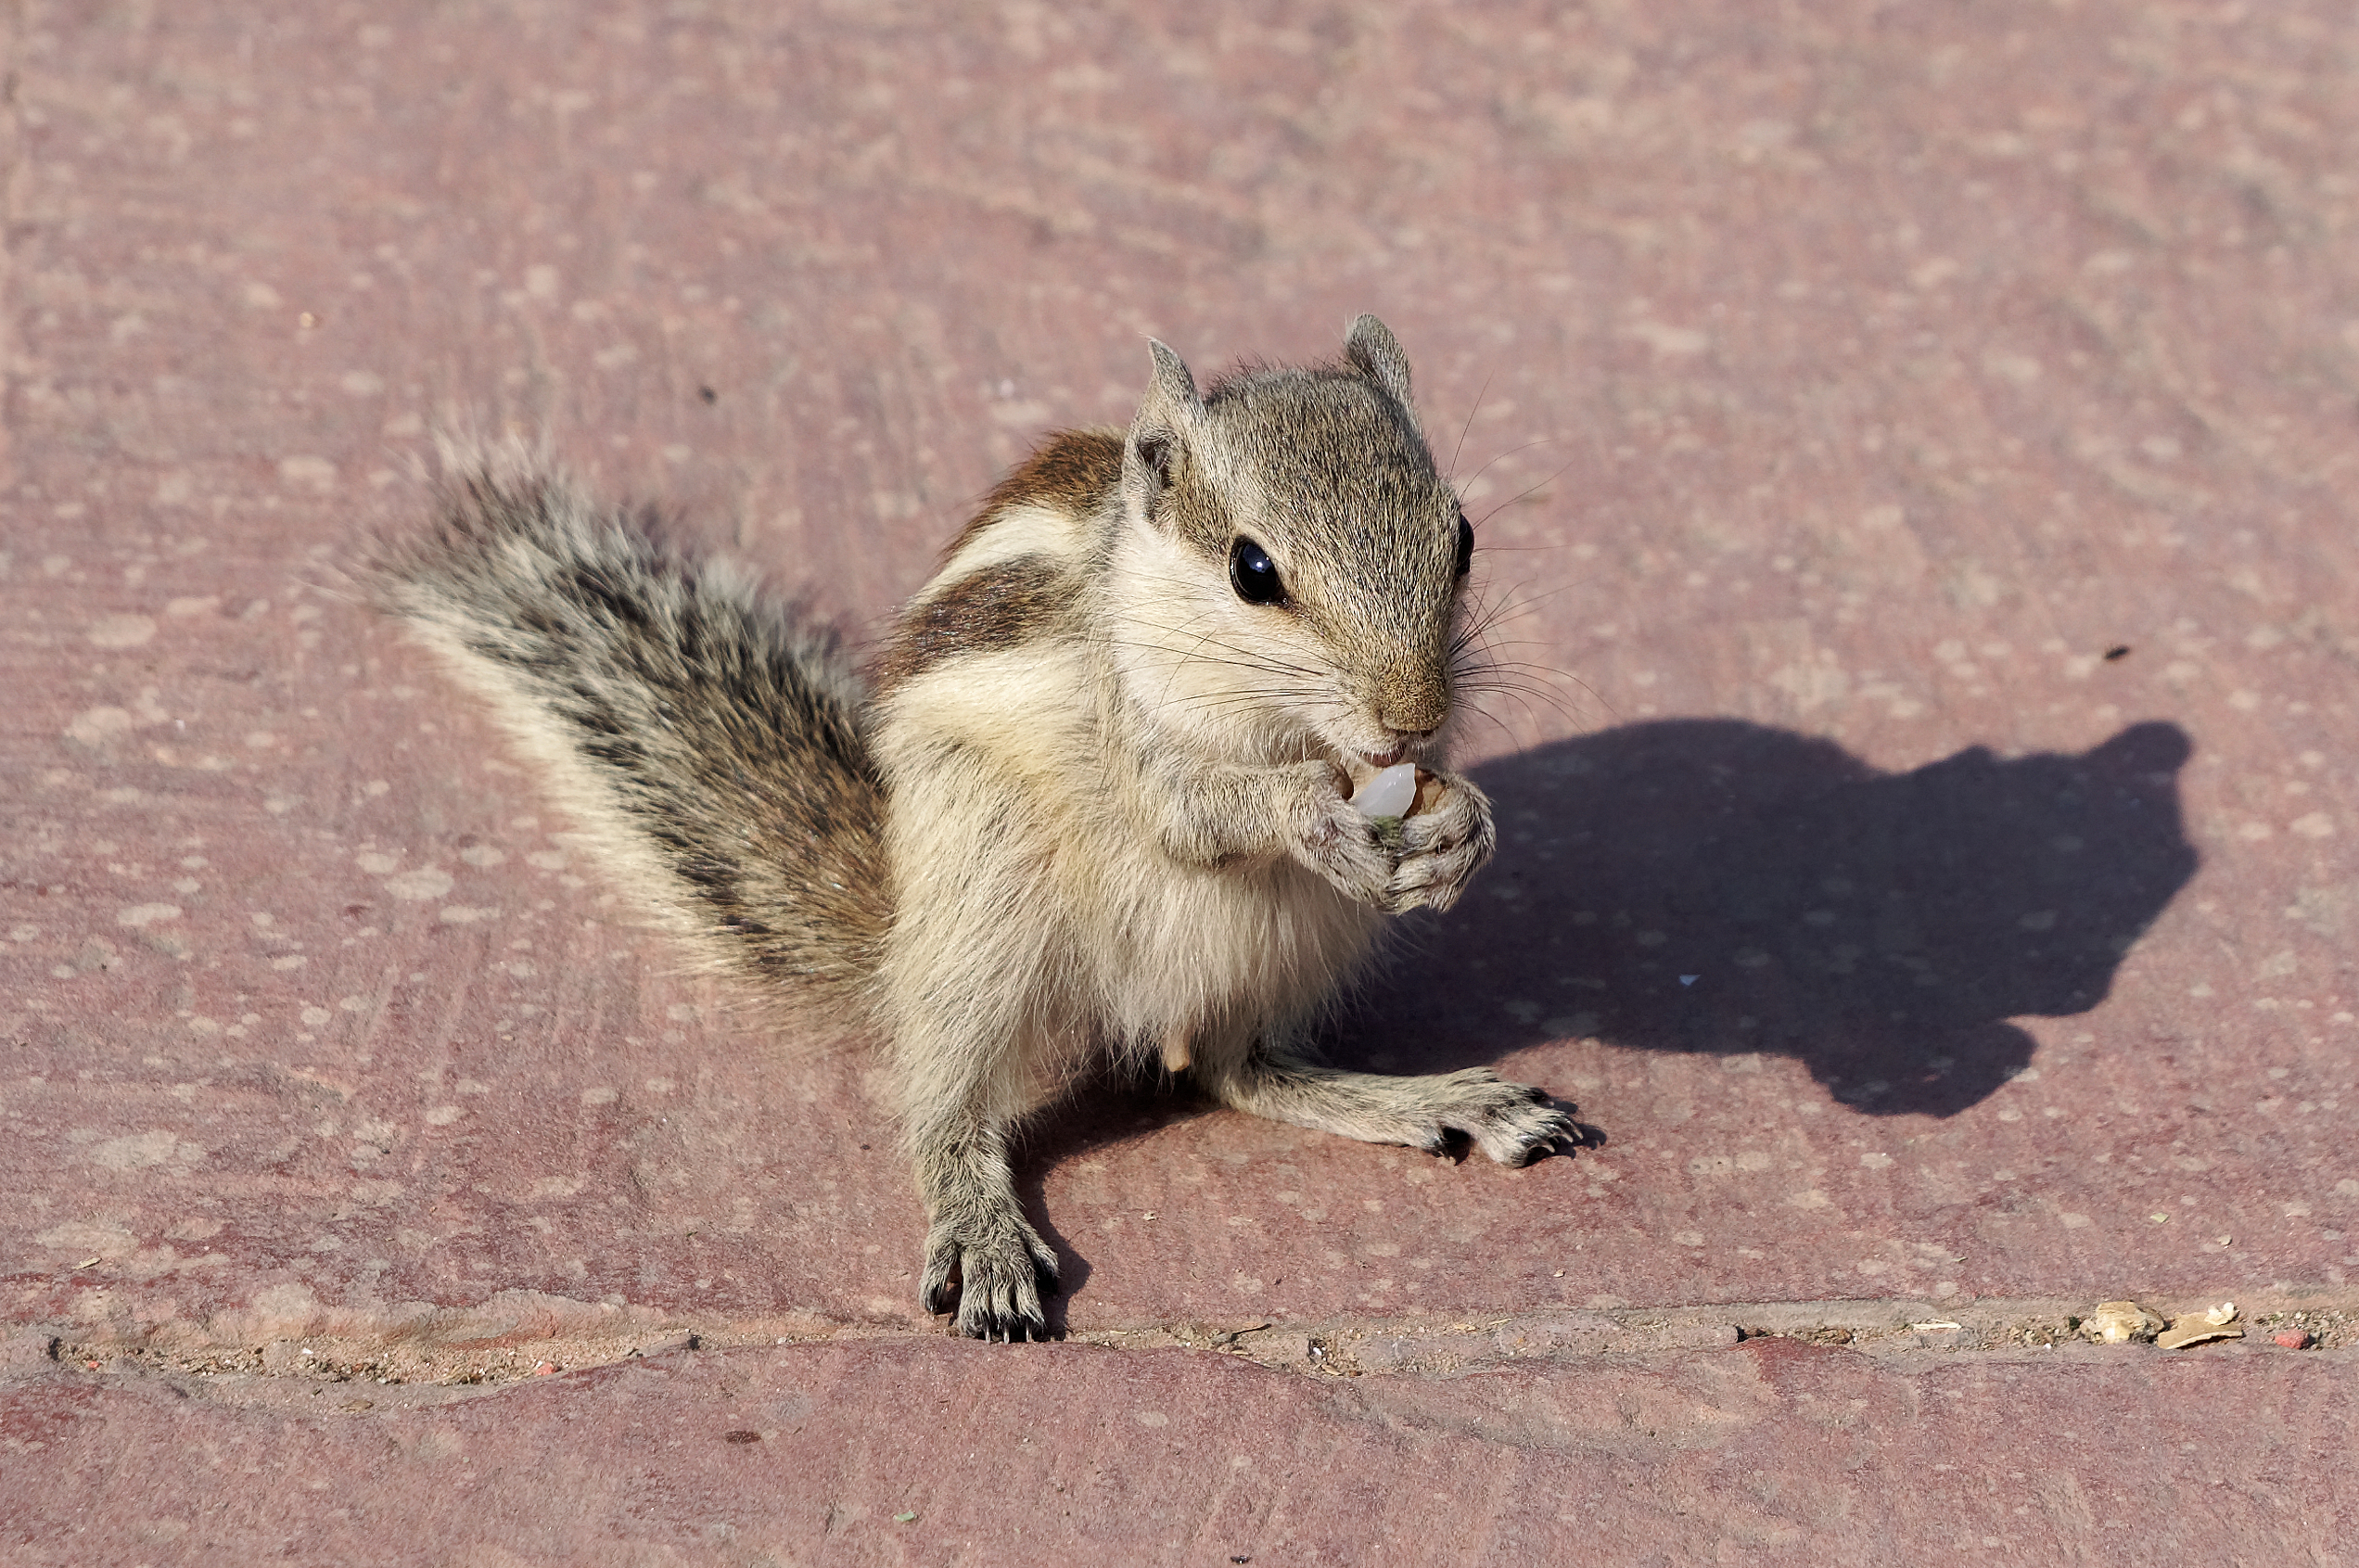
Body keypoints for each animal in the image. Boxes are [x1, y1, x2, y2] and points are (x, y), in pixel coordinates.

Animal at [377, 315, 1575, 1330]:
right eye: (1252, 569)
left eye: (1464, 537)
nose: (1409, 715)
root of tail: (900, 936)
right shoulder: (1129, 724)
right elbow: (1190, 810)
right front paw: (1307, 815)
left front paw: (1465, 823)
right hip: (985, 897)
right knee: (948, 1100)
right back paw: (983, 1230)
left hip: (1290, 945)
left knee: (1236, 1068)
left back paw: (1431, 1097)